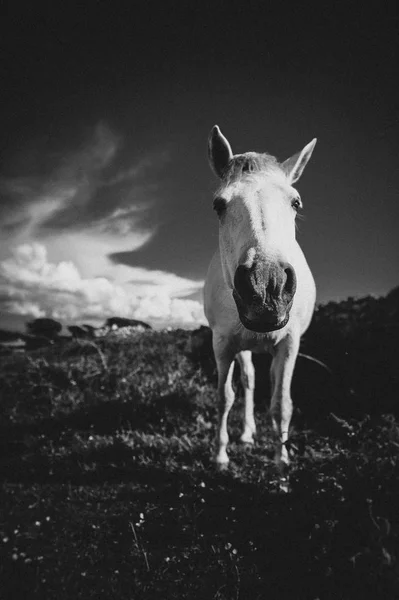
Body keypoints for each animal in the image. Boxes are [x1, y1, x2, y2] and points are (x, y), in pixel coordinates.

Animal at [205, 125, 318, 468]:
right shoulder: (222, 343)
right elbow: (224, 398)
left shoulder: (290, 343)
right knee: (249, 381)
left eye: (296, 203)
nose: (266, 289)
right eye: (219, 205)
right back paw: (245, 434)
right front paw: (220, 455)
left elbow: (281, 403)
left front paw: (281, 460)